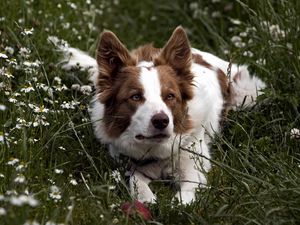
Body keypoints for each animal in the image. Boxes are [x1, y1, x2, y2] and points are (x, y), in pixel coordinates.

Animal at [61, 25, 264, 204]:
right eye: (135, 96)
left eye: (170, 96)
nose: (161, 121)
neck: (158, 150)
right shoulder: (129, 162)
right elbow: (136, 181)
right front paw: (147, 200)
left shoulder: (194, 166)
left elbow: (185, 197)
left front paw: (177, 205)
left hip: (248, 94)